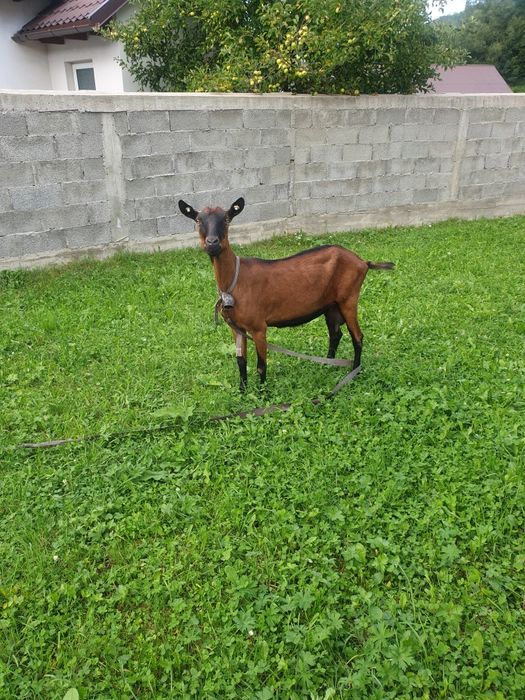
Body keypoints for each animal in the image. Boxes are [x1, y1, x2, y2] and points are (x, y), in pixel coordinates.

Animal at [179, 197, 394, 391]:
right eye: (197, 219)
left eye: (226, 218)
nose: (212, 243)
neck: (235, 281)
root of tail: (363, 262)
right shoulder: (237, 328)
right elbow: (241, 362)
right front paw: (242, 391)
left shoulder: (259, 327)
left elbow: (261, 365)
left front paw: (263, 394)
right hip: (330, 305)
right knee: (335, 334)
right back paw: (328, 364)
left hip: (349, 298)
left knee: (357, 336)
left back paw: (355, 371)